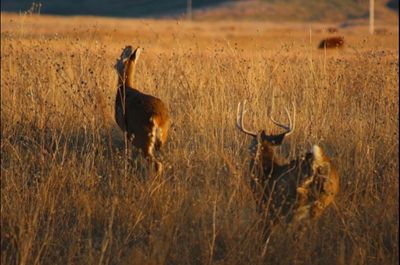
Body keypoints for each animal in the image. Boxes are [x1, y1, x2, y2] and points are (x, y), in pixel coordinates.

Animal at [114, 45, 169, 173]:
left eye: (119, 59)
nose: (114, 65)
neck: (125, 88)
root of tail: (158, 117)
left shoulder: (125, 130)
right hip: (161, 141)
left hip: (143, 138)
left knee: (157, 164)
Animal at [236, 100, 340, 240]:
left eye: (252, 142)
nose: (249, 150)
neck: (267, 173)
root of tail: (317, 163)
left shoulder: (266, 205)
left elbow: (265, 232)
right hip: (324, 199)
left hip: (294, 203)